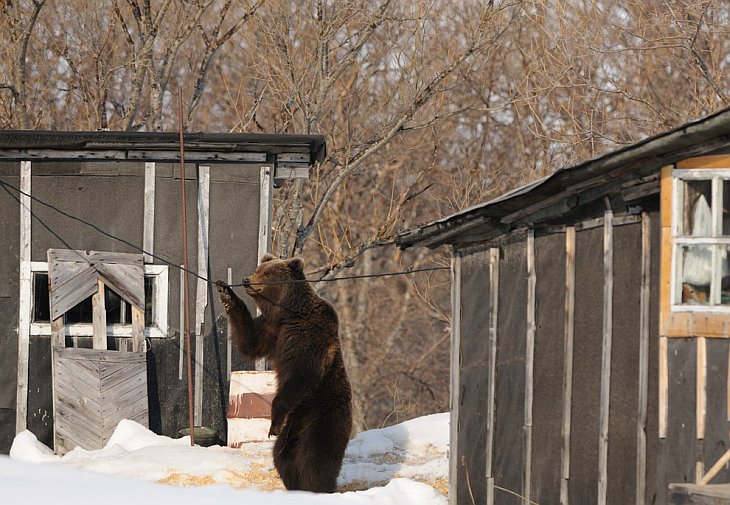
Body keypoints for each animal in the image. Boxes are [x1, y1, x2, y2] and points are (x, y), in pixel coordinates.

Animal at [215, 254, 352, 490]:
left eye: (267, 273)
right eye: (258, 269)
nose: (246, 279)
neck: (287, 313)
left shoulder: (308, 336)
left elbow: (303, 374)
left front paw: (273, 420)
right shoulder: (272, 330)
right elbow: (248, 341)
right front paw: (226, 292)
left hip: (324, 413)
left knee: (315, 457)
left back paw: (317, 487)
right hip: (294, 425)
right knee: (282, 456)